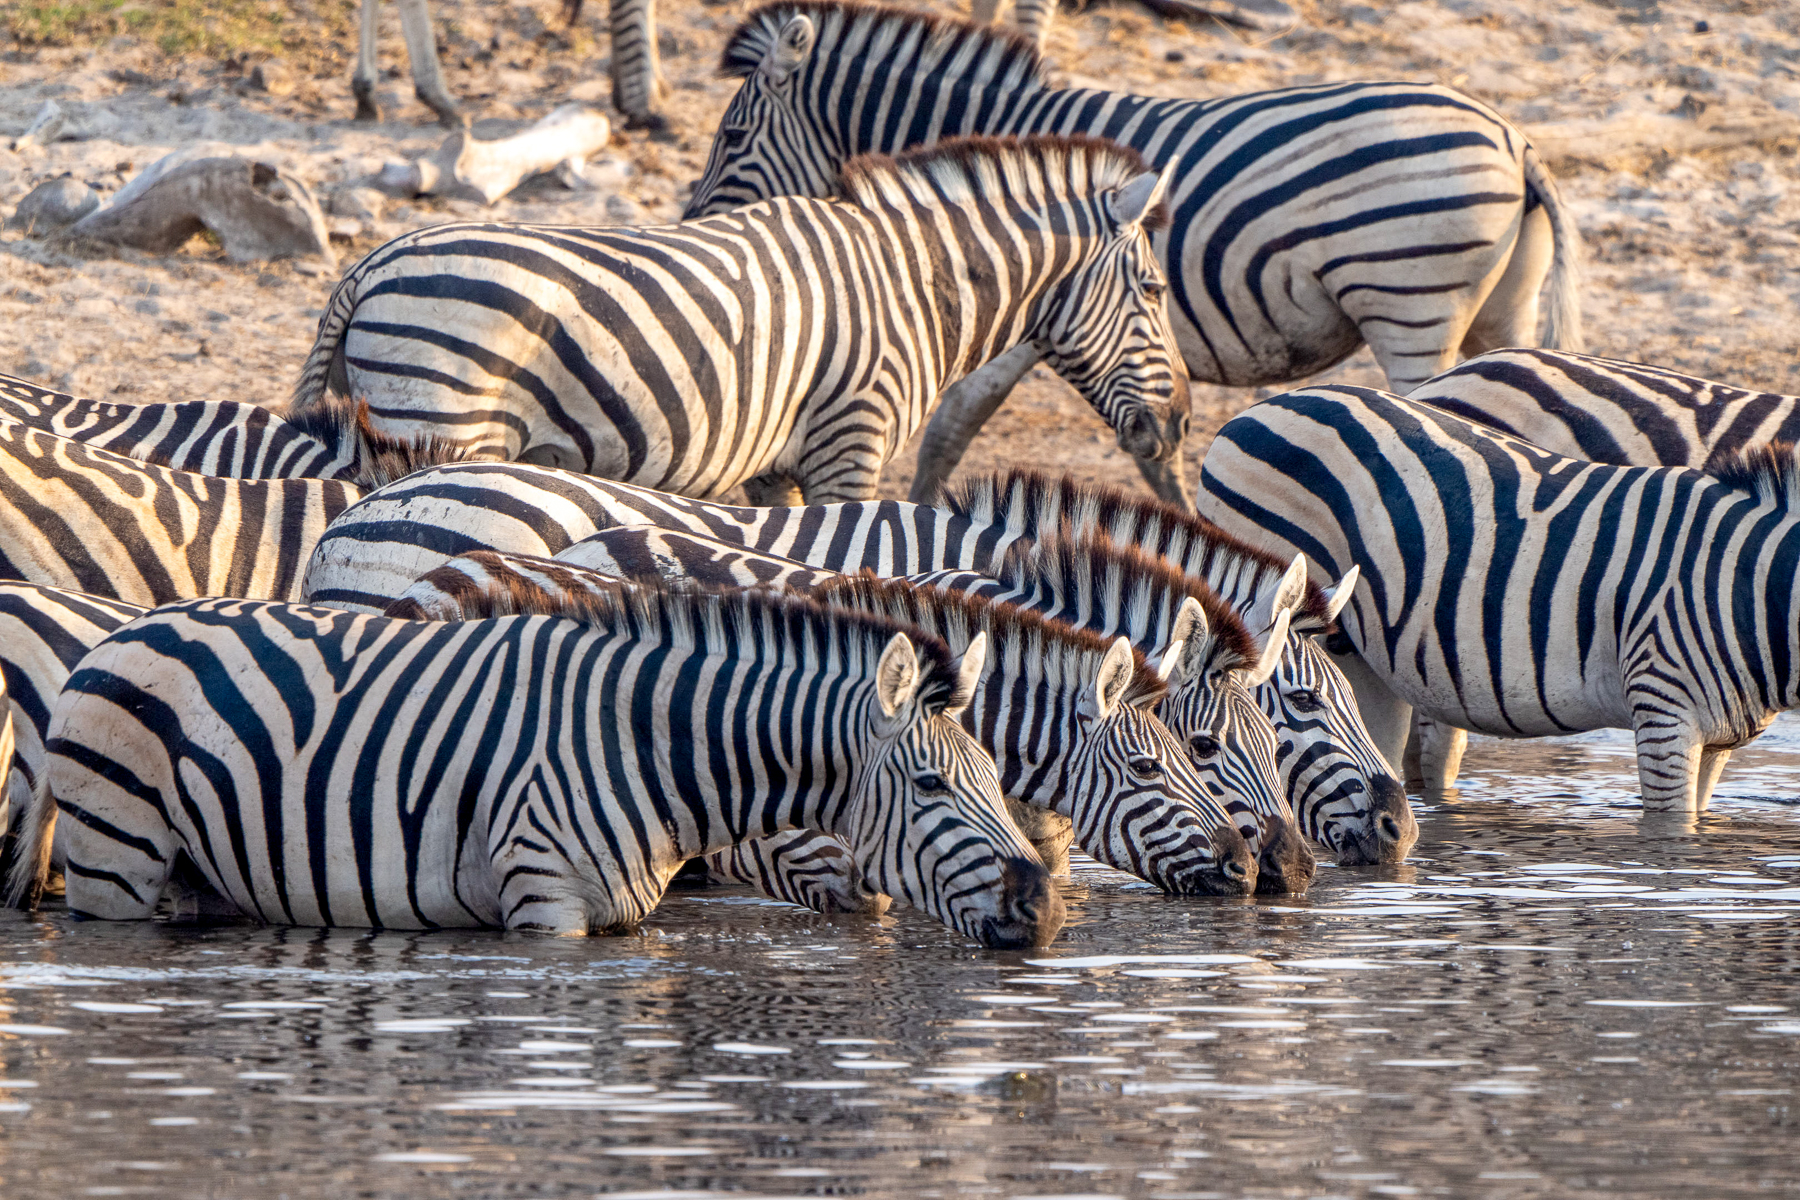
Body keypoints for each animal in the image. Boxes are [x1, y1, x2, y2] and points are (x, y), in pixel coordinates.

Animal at [12, 585, 1067, 947]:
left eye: (996, 780)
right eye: (931, 788)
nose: (1046, 912)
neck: (650, 749)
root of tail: (119, 631)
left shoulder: (619, 920)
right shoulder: (545, 906)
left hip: (207, 873)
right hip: (116, 861)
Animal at [291, 134, 1190, 506]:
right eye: (1152, 289)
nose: (1180, 423)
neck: (914, 283)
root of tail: (370, 264)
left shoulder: (776, 462)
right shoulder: (850, 443)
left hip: (390, 433)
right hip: (444, 425)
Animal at [682, 1, 1583, 503]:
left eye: (731, 137)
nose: (690, 222)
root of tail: (1514, 139)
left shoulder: (1036, 310)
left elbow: (952, 425)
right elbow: (1148, 449)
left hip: (1409, 303)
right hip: (1501, 308)